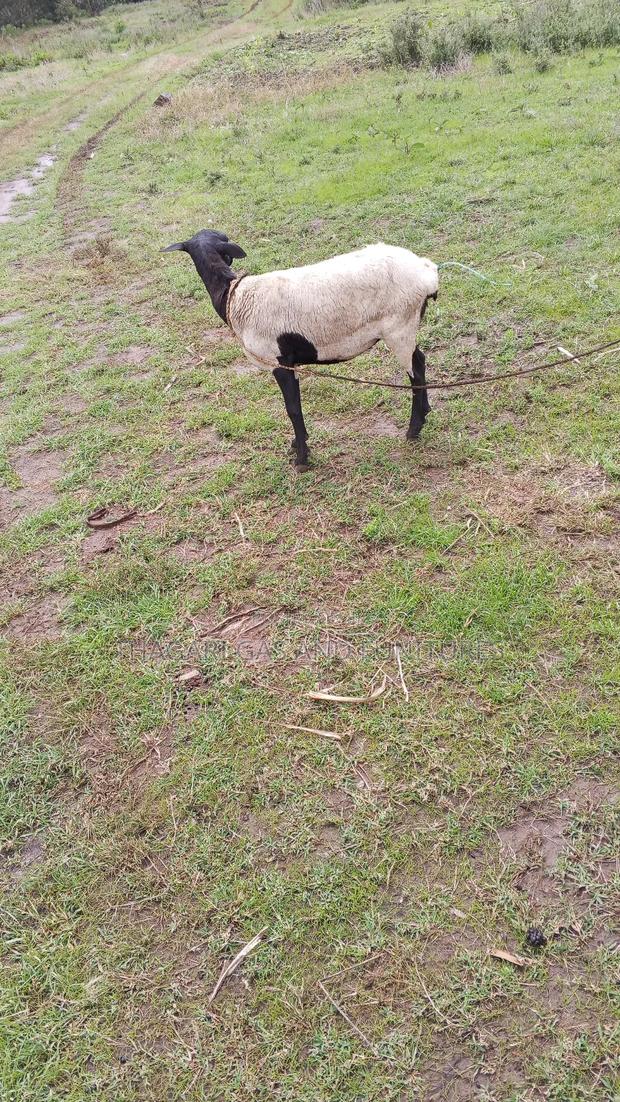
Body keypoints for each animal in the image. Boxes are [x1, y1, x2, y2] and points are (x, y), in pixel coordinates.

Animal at [162, 229, 438, 471]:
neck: (233, 296)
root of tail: (427, 273)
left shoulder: (279, 361)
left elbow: (292, 409)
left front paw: (302, 459)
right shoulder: (290, 362)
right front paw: (298, 443)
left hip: (399, 326)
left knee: (414, 372)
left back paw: (413, 429)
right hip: (405, 326)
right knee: (420, 361)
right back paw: (423, 415)